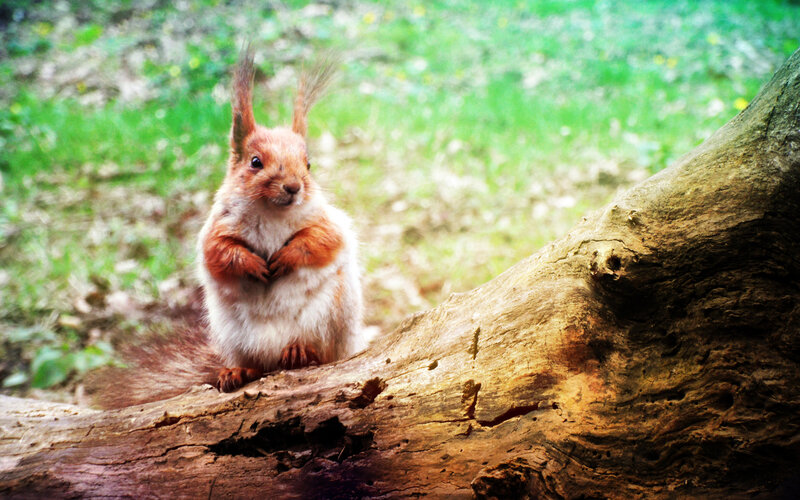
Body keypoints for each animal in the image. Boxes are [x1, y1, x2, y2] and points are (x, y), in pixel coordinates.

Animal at [90, 48, 366, 408]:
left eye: (308, 165)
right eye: (255, 162)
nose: (293, 187)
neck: (271, 212)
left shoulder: (327, 221)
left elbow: (320, 241)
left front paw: (286, 257)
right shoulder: (216, 228)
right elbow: (220, 252)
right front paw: (252, 264)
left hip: (329, 320)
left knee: (319, 353)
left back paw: (301, 353)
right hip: (234, 336)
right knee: (256, 366)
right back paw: (237, 371)